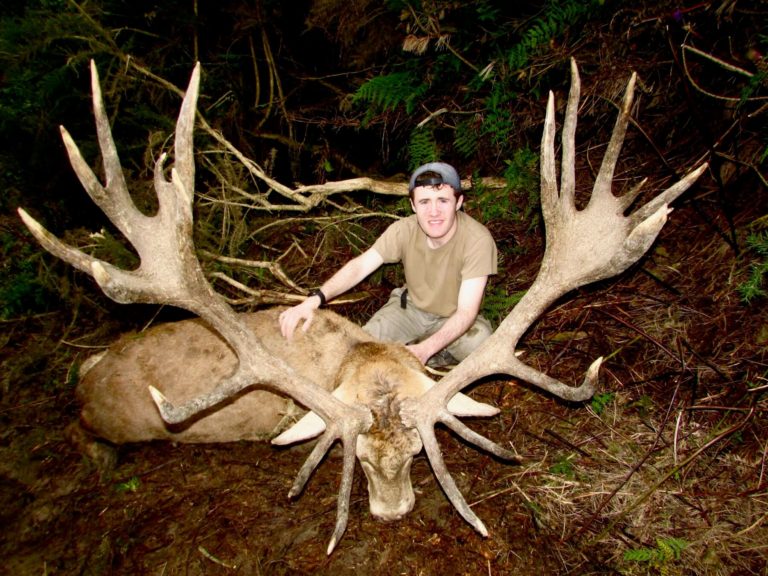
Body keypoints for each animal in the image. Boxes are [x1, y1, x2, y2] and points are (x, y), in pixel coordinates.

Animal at [18, 58, 707, 554]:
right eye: (365, 463)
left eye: (416, 455)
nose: (393, 512)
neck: (354, 357)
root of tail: (85, 376)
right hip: (107, 418)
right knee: (83, 433)